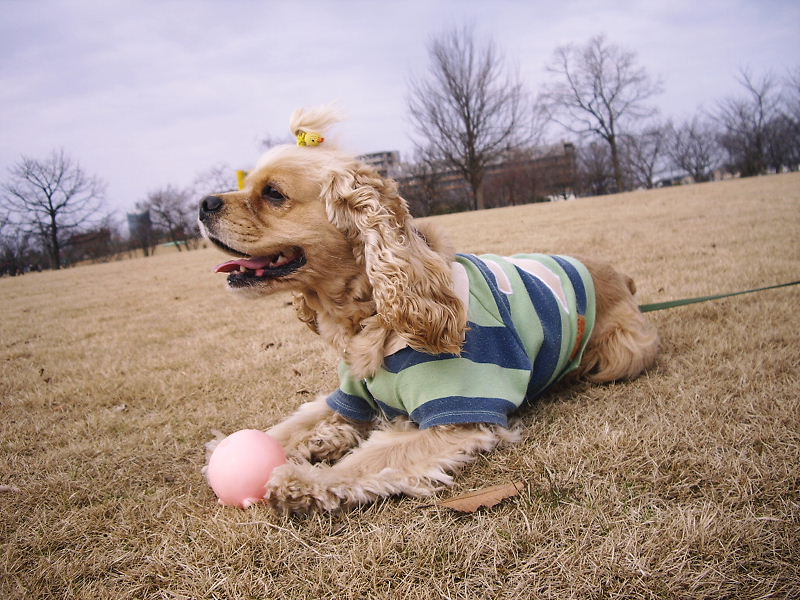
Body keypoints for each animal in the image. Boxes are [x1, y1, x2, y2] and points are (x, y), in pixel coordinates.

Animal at [199, 106, 659, 514]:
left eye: (274, 194)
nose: (203, 203)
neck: (375, 316)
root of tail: (617, 274)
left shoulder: (457, 415)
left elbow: (373, 458)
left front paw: (302, 481)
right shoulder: (348, 394)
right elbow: (299, 419)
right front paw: (241, 446)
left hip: (622, 353)